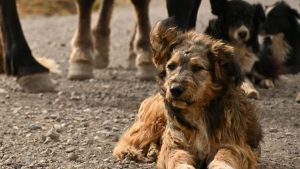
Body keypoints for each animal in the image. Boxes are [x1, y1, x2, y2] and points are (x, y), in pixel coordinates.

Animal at [113, 17, 262, 168]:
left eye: (198, 68)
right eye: (171, 66)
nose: (174, 89)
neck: (198, 111)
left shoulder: (234, 143)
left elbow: (225, 155)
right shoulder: (175, 143)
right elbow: (177, 156)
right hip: (154, 120)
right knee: (132, 137)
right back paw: (129, 151)